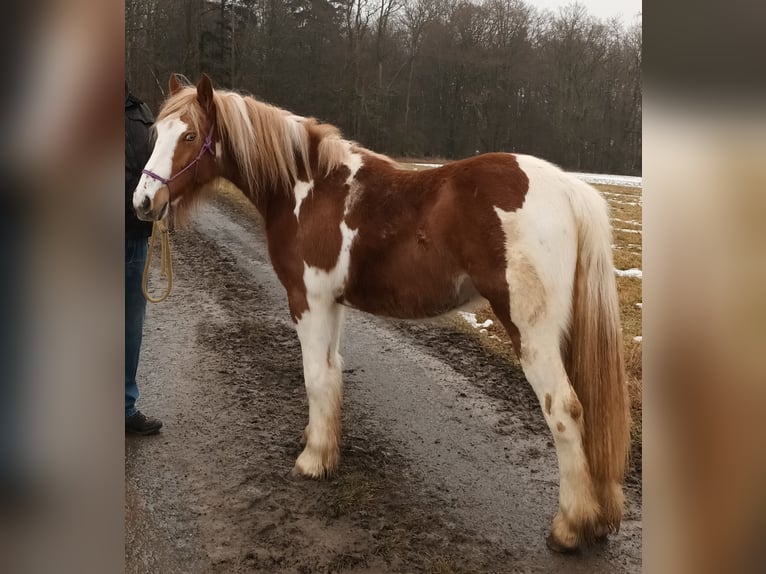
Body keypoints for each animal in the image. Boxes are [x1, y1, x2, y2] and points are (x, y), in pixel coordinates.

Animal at [133, 73, 630, 553]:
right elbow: (331, 374)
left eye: (190, 135)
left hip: (531, 330)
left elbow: (315, 376)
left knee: (564, 410)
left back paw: (570, 528)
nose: (142, 202)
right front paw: (322, 447)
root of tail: (567, 188)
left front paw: (312, 461)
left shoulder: (308, 300)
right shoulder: (331, 304)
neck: (309, 189)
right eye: (157, 132)